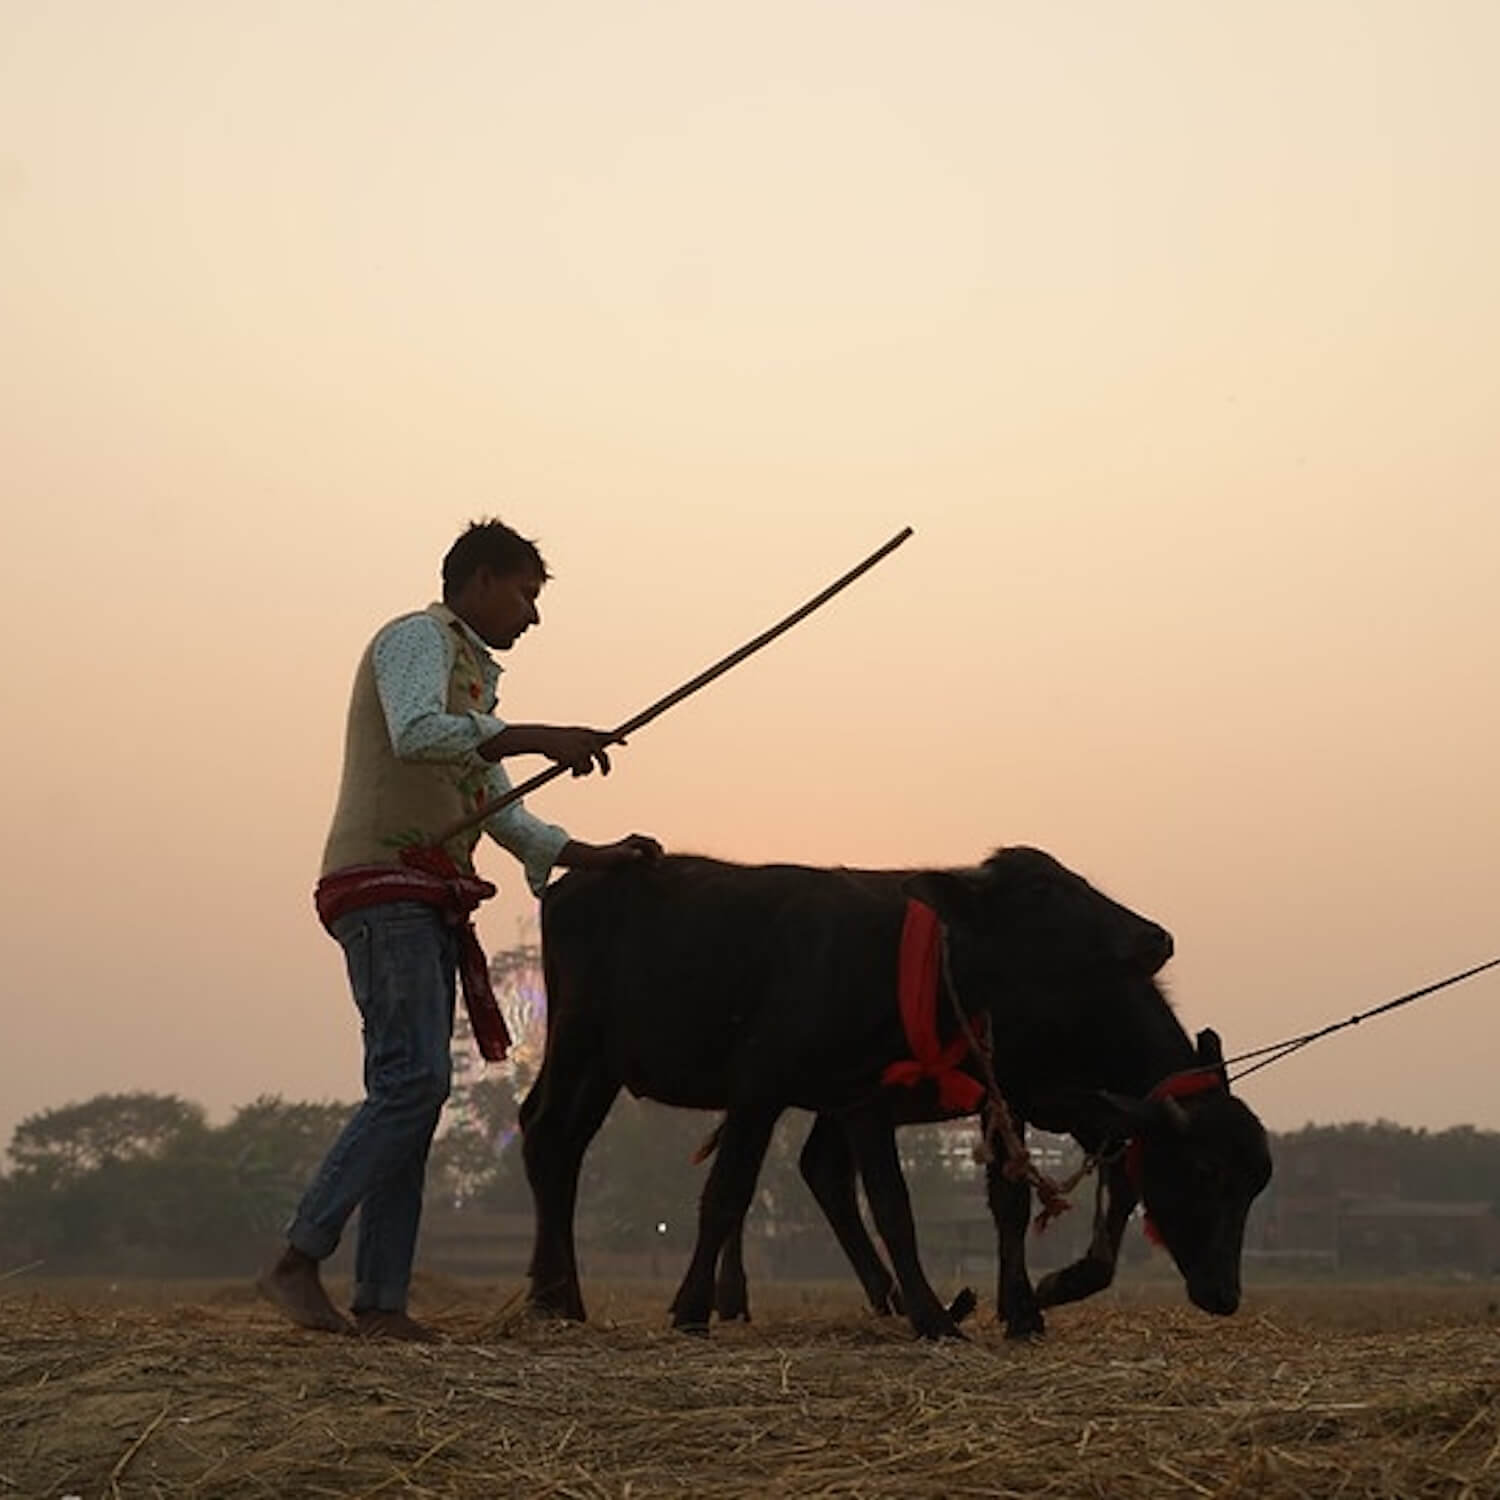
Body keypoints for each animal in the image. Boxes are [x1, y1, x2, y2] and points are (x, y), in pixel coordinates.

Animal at [522, 852, 1272, 1344]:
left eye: (1254, 1185)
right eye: (1207, 1173)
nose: (1225, 1294)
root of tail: (572, 884)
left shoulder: (929, 1099)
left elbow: (976, 1203)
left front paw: (1005, 1309)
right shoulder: (770, 1088)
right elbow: (735, 1194)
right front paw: (687, 1311)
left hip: (605, 1065)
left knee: (570, 1147)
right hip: (578, 1042)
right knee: (545, 1135)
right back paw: (553, 1299)